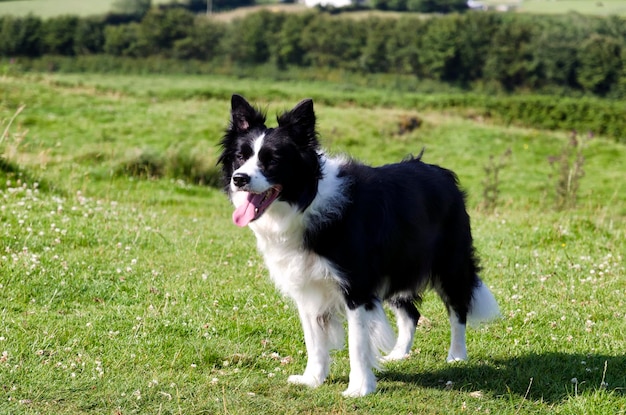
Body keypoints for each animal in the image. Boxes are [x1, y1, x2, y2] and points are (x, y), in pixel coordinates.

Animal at [217, 96, 500, 398]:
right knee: (411, 312)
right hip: (398, 263)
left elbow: (357, 342)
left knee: (458, 308)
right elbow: (313, 339)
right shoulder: (306, 284)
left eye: (272, 161)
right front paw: (312, 379)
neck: (306, 203)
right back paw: (399, 353)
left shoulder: (356, 286)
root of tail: (443, 174)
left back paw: (457, 355)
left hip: (450, 261)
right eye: (240, 157)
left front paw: (359, 388)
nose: (239, 179)